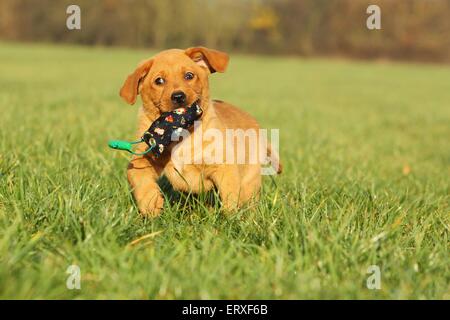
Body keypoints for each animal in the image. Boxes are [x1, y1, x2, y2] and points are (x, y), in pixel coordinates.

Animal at [119, 47, 282, 218]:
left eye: (189, 76)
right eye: (159, 81)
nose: (178, 96)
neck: (181, 135)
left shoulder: (223, 166)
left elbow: (229, 196)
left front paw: (229, 219)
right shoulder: (143, 158)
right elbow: (136, 175)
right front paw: (151, 204)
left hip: (250, 179)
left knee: (248, 200)